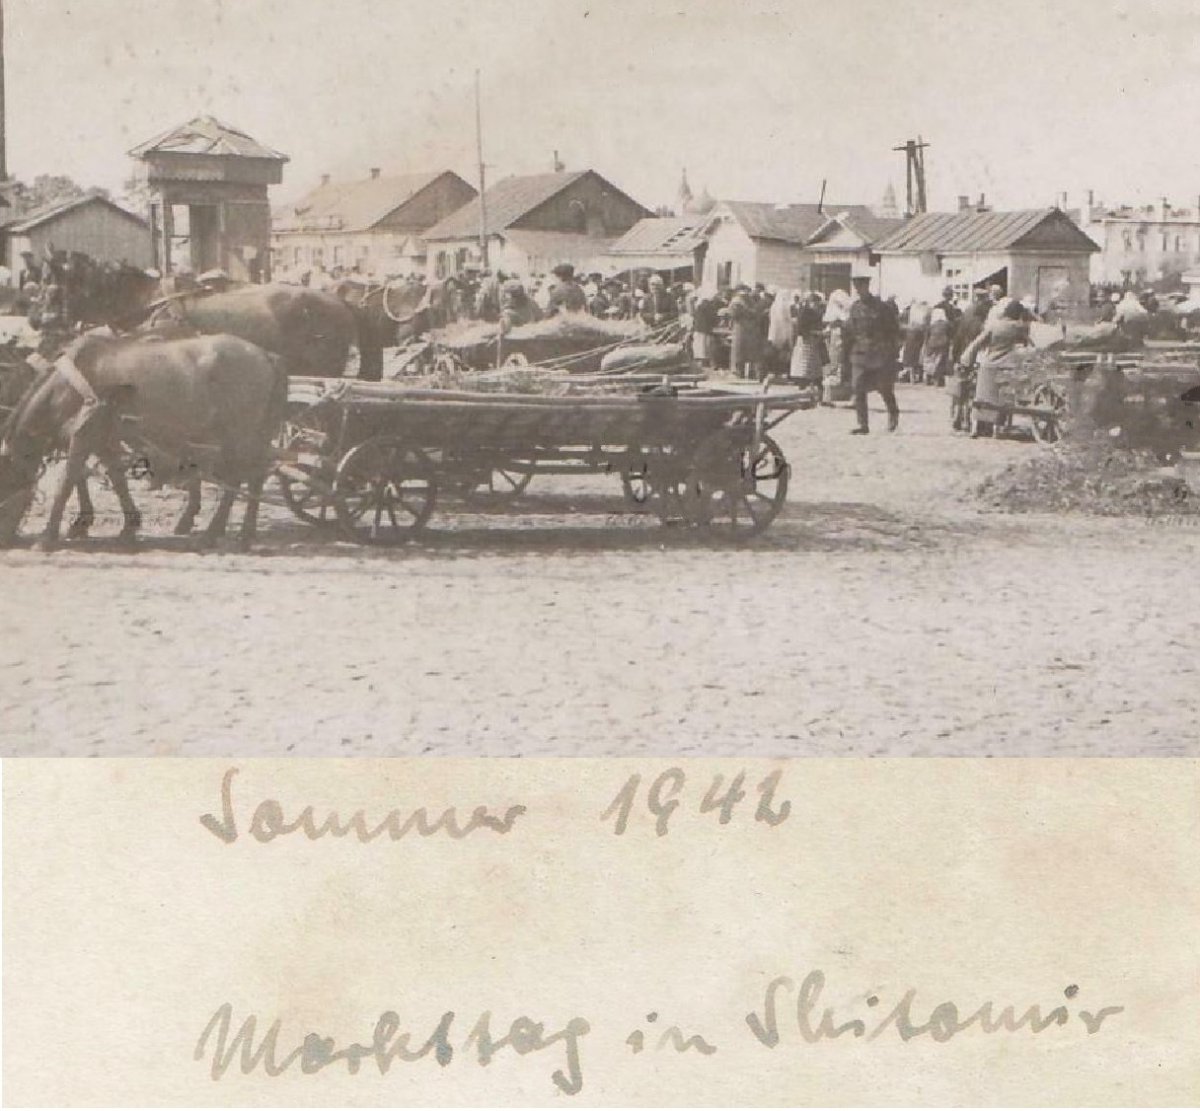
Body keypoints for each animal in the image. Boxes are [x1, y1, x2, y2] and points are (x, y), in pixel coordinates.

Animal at [0, 333, 288, 554]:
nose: (5, 541)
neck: (70, 385)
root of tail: (267, 356)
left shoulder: (86, 433)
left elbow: (68, 480)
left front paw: (47, 537)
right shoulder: (104, 437)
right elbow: (117, 478)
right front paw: (128, 528)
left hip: (239, 435)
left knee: (238, 480)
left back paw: (214, 535)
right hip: (250, 437)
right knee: (254, 477)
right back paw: (243, 534)